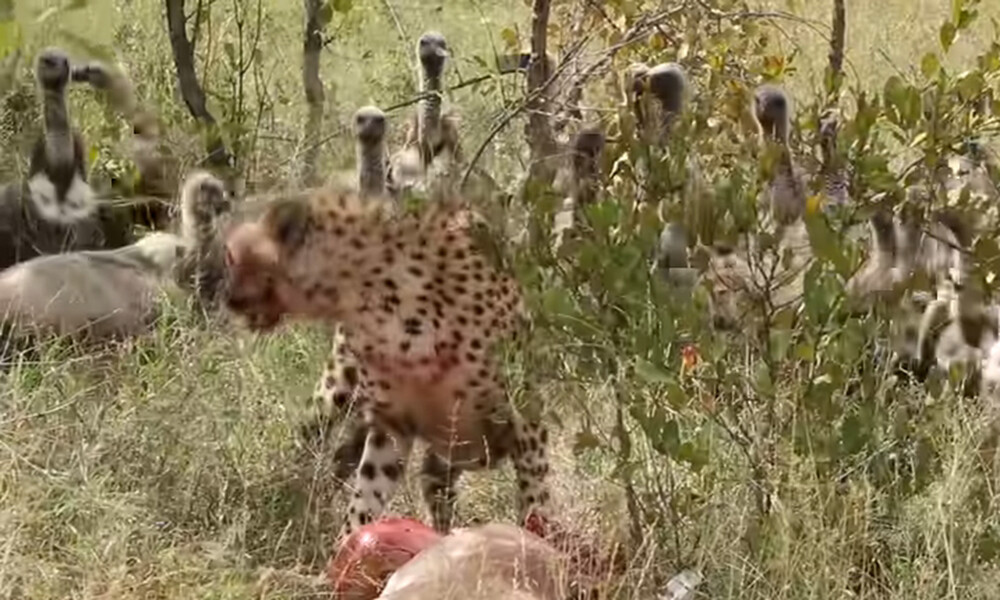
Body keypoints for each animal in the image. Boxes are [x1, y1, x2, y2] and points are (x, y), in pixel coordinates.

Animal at [223, 189, 552, 536]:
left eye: (232, 256)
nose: (225, 297)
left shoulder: (525, 419)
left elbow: (536, 500)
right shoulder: (392, 425)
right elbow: (365, 497)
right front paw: (350, 542)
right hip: (338, 391)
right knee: (320, 444)